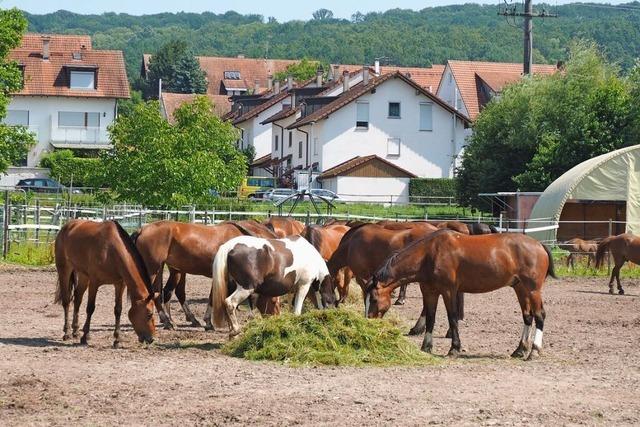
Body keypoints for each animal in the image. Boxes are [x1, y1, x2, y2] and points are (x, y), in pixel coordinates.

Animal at [132, 221, 278, 328]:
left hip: (163, 269)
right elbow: (216, 297)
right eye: (274, 301)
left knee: (164, 292)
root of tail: (142, 229)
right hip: (153, 269)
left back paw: (173, 320)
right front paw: (211, 322)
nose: (276, 317)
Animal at [208, 236, 338, 336]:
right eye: (331, 301)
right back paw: (236, 330)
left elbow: (291, 306)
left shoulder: (292, 290)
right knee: (230, 303)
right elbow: (297, 309)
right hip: (246, 288)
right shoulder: (303, 285)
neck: (311, 257)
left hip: (231, 286)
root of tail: (229, 246)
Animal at [364, 232, 556, 360]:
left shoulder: (449, 290)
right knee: (527, 316)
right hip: (520, 288)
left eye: (373, 299)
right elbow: (431, 318)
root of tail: (539, 245)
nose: (368, 322)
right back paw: (520, 350)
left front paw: (454, 349)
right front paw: (426, 347)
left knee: (539, 315)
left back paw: (534, 351)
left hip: (533, 290)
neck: (430, 254)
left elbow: (452, 317)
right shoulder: (429, 291)